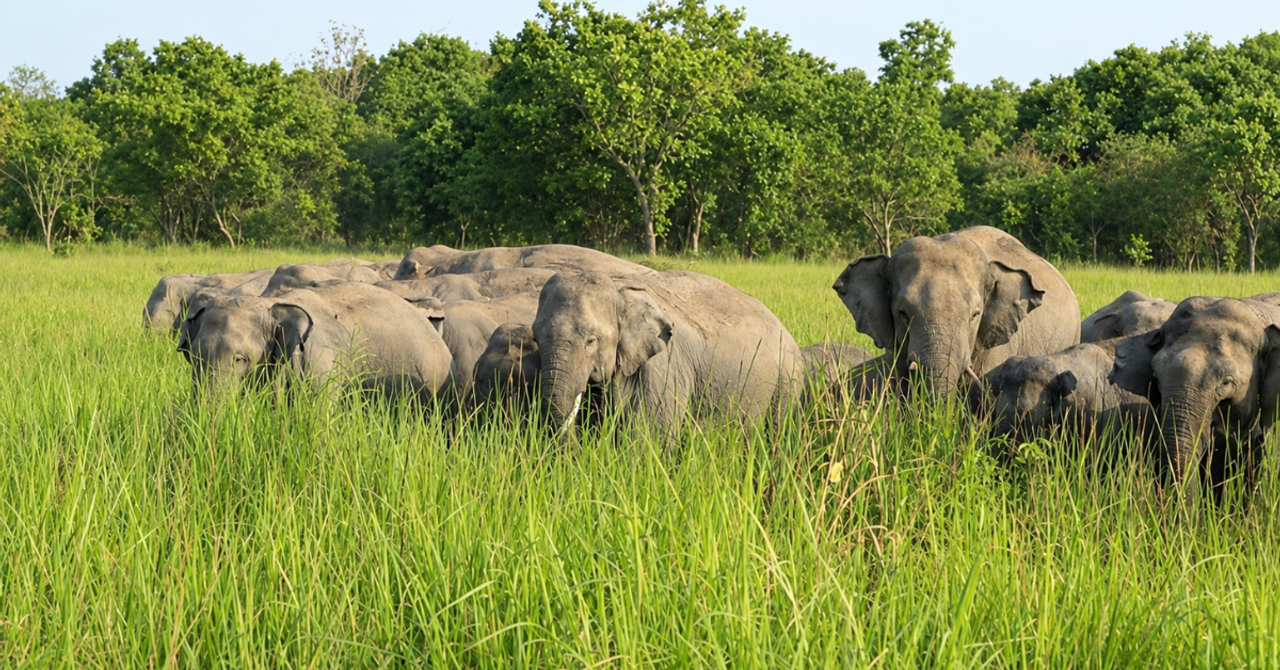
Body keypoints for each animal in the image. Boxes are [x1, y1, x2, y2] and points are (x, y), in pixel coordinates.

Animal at [533, 270, 804, 435]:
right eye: (535, 338)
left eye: (591, 341)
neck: (619, 287)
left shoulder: (664, 366)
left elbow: (650, 435)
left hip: (788, 381)